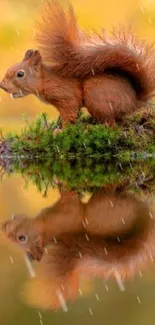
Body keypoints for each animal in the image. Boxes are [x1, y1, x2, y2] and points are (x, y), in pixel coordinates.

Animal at [0, 2, 155, 128]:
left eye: (20, 74)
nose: (2, 85)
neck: (45, 80)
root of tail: (133, 101)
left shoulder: (66, 96)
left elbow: (70, 112)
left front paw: (60, 131)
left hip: (97, 95)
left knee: (110, 125)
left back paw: (90, 128)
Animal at [1, 187, 155, 308]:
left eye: (21, 238)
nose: (4, 226)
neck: (45, 228)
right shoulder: (68, 213)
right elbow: (72, 202)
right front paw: (65, 188)